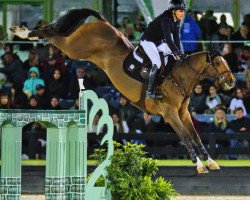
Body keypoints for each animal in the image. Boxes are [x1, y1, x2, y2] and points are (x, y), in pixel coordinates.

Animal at [10, 8, 236, 173]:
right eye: (217, 62)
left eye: (226, 60)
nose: (232, 82)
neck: (179, 77)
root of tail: (104, 23)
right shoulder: (170, 114)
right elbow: (186, 137)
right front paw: (199, 165)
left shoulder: (183, 113)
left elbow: (195, 136)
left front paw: (211, 162)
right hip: (74, 48)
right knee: (53, 34)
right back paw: (21, 32)